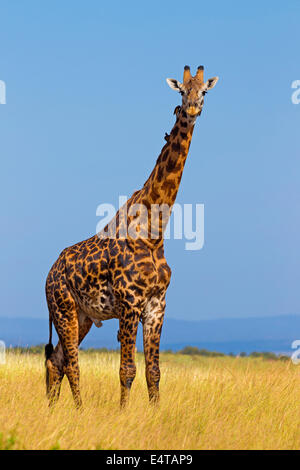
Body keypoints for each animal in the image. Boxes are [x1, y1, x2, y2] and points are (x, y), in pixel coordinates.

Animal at [44, 65, 218, 408]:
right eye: (182, 91)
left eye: (204, 90)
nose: (192, 109)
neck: (154, 233)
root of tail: (49, 273)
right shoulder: (129, 303)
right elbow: (127, 369)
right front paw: (123, 413)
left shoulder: (157, 305)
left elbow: (154, 371)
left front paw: (155, 412)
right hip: (63, 308)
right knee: (71, 363)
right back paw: (79, 411)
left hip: (83, 315)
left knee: (56, 360)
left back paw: (53, 409)